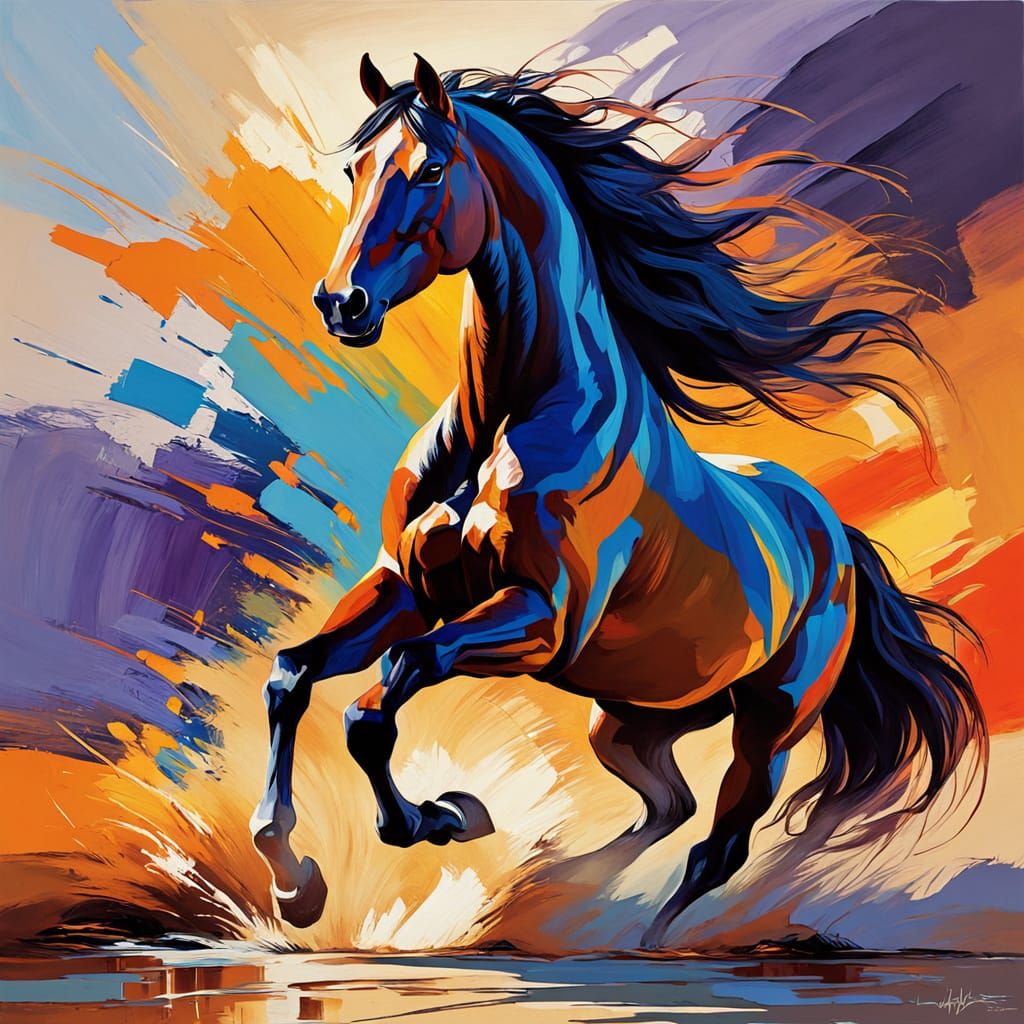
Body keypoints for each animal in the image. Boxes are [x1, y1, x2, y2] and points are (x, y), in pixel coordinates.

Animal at [250, 54, 986, 948]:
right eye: (354, 169)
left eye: (429, 170)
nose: (341, 303)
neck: (511, 420)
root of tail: (838, 538)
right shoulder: (405, 587)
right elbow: (294, 677)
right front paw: (297, 881)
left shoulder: (540, 620)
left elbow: (386, 692)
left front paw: (442, 816)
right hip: (634, 719)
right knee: (667, 807)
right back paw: (552, 887)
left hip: (769, 722)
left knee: (717, 845)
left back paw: (631, 934)